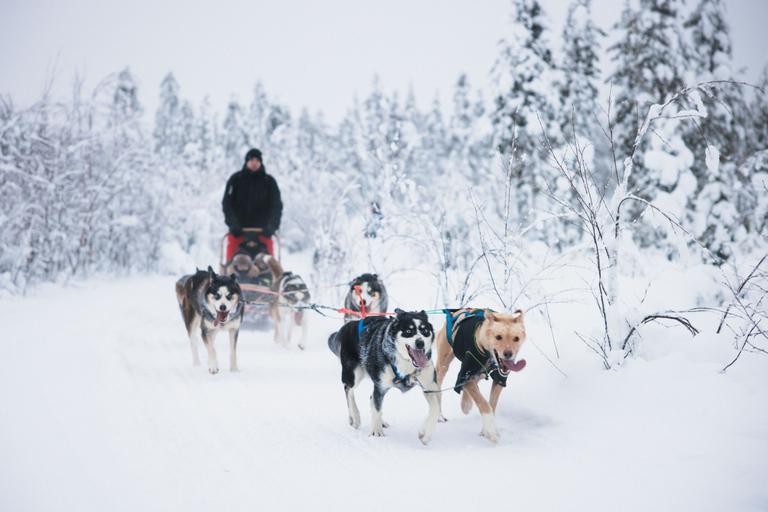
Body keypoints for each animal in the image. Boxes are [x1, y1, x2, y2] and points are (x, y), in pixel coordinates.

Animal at [328, 308, 440, 444]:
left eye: (425, 331)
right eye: (408, 331)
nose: (420, 343)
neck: (406, 365)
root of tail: (348, 325)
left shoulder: (429, 386)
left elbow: (436, 409)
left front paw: (425, 434)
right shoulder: (380, 386)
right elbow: (376, 408)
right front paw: (376, 433)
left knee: (371, 398)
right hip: (354, 374)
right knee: (349, 389)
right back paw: (355, 416)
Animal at [436, 308, 524, 444]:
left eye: (516, 338)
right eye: (498, 337)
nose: (508, 354)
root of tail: (454, 312)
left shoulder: (499, 379)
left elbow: (492, 404)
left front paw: (486, 428)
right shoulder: (464, 375)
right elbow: (484, 404)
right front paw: (491, 432)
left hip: (479, 373)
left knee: (476, 382)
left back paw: (466, 404)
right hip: (443, 365)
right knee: (438, 390)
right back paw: (440, 416)